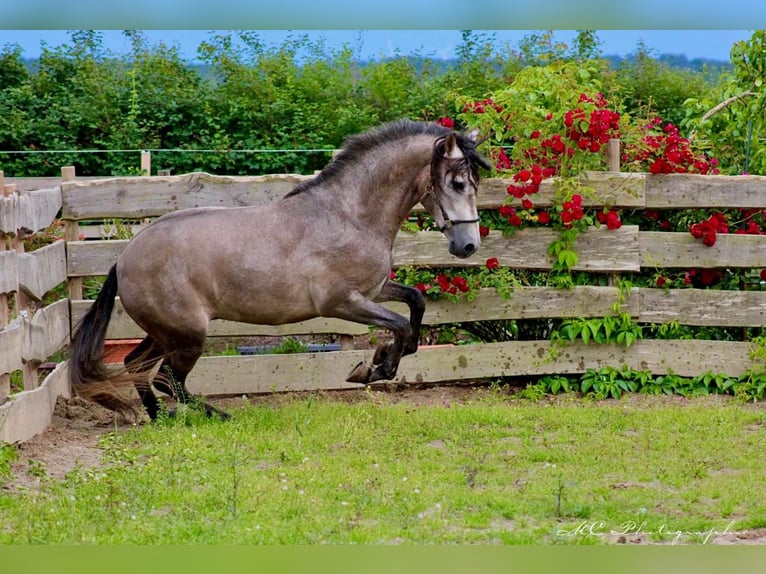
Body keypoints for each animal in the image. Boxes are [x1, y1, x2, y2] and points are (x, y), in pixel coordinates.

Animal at [70, 119, 492, 420]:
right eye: (457, 182)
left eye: (474, 182)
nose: (468, 246)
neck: (348, 215)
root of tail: (124, 257)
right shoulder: (341, 303)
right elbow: (401, 324)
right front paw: (372, 368)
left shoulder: (373, 291)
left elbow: (416, 303)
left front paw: (380, 360)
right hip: (188, 335)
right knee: (166, 379)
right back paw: (217, 416)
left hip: (167, 332)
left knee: (136, 366)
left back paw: (159, 419)